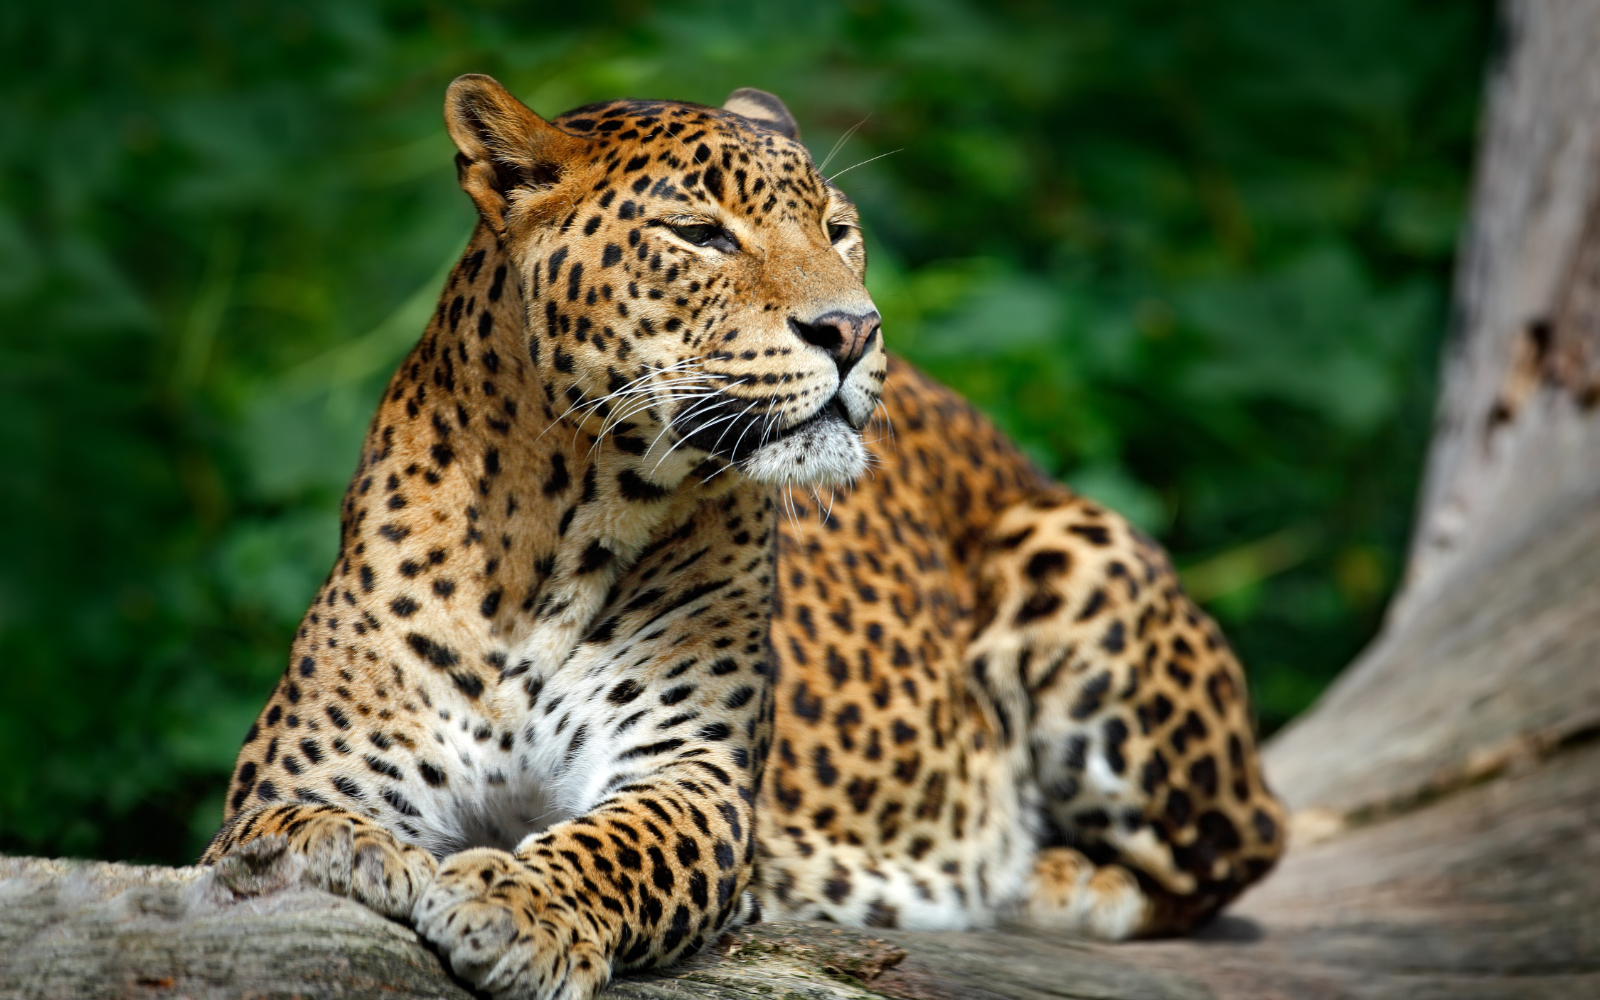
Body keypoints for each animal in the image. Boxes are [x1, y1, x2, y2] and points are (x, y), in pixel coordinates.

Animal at [202, 74, 1286, 1000]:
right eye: (700, 234)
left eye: (838, 231)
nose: (854, 329)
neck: (558, 529)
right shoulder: (311, 763)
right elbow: (281, 823)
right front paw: (337, 852)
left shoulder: (692, 771)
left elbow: (617, 845)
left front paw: (517, 905)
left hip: (1076, 548)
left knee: (1243, 845)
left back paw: (1055, 878)